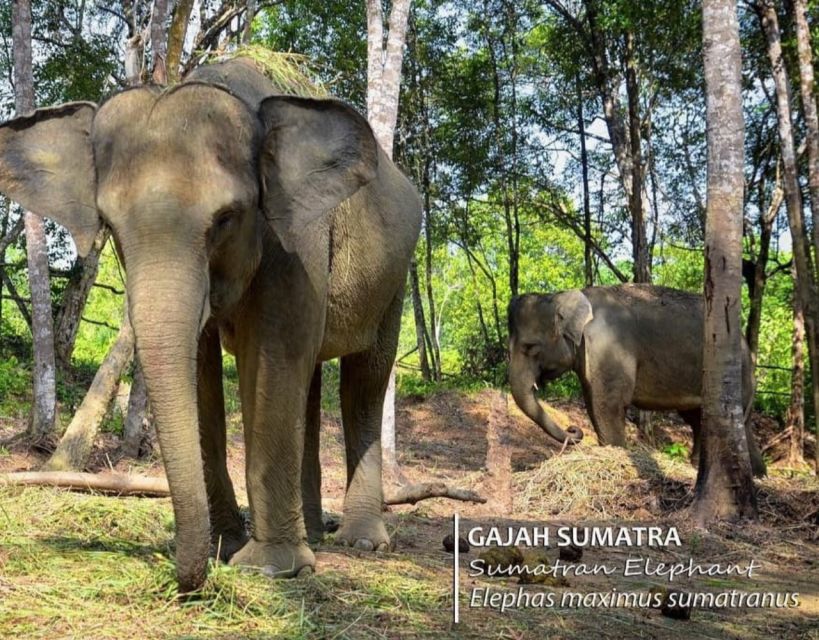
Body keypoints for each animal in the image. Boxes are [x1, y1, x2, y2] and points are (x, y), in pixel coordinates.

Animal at [0, 58, 422, 592]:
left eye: (226, 218)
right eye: (109, 225)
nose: (188, 580)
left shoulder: (295, 240)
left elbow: (272, 357)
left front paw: (270, 567)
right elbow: (201, 372)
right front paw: (227, 547)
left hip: (395, 274)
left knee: (364, 380)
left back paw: (360, 542)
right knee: (310, 383)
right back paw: (314, 535)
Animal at [506, 284, 768, 476]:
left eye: (530, 347)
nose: (574, 430)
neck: (564, 294)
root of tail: (746, 344)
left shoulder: (608, 347)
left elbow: (608, 405)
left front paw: (617, 455)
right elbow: (593, 404)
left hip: (738, 371)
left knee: (722, 418)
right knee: (705, 419)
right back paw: (746, 473)